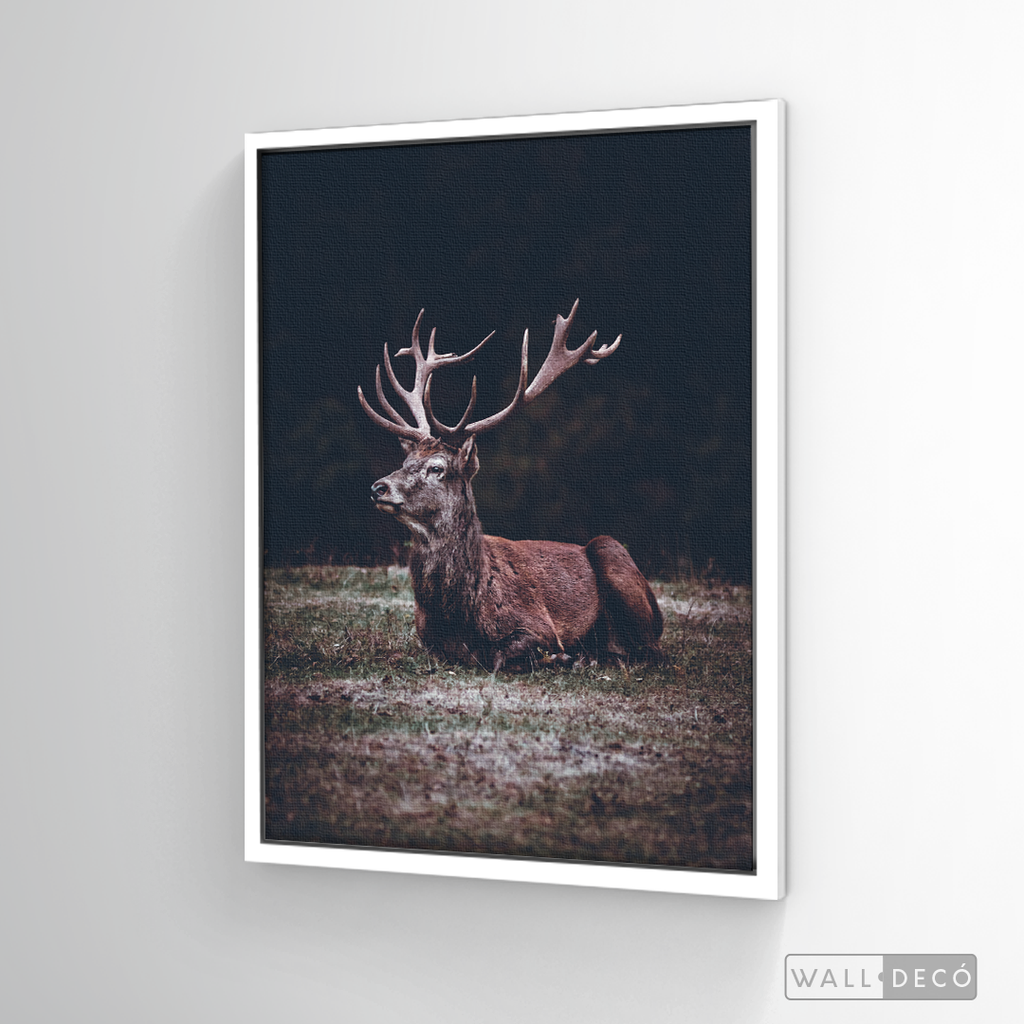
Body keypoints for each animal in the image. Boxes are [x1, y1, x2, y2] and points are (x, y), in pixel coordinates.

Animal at [359, 300, 663, 672]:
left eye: (437, 468)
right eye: (405, 462)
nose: (379, 487)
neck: (459, 615)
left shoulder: (538, 623)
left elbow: (501, 655)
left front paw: (563, 656)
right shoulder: (427, 637)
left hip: (613, 555)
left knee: (649, 650)